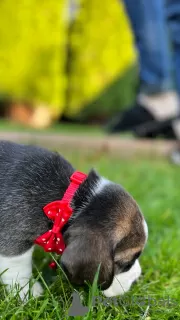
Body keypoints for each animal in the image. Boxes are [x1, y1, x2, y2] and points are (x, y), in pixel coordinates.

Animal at [0, 141, 148, 298]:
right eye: (127, 264)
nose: (138, 277)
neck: (72, 199)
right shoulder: (14, 239)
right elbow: (18, 268)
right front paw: (27, 292)